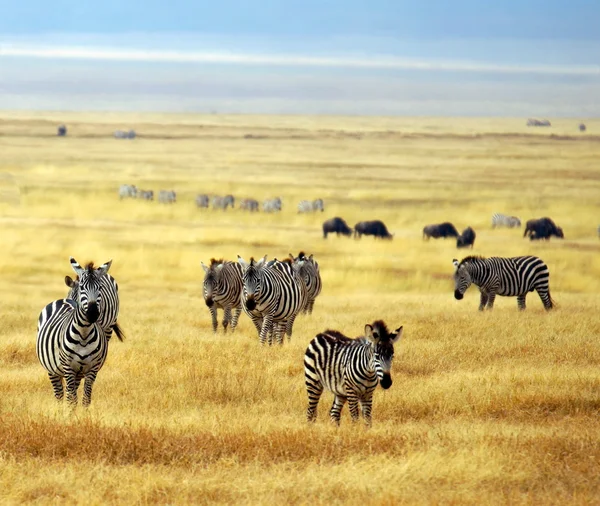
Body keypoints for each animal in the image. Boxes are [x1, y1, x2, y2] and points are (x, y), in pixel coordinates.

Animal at [36, 258, 116, 406]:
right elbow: (71, 399)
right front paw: (69, 413)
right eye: (82, 288)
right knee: (59, 394)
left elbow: (85, 399)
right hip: (52, 369)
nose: (92, 313)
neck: (84, 333)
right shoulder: (68, 367)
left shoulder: (92, 369)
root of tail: (64, 300)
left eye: (100, 288)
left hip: (78, 373)